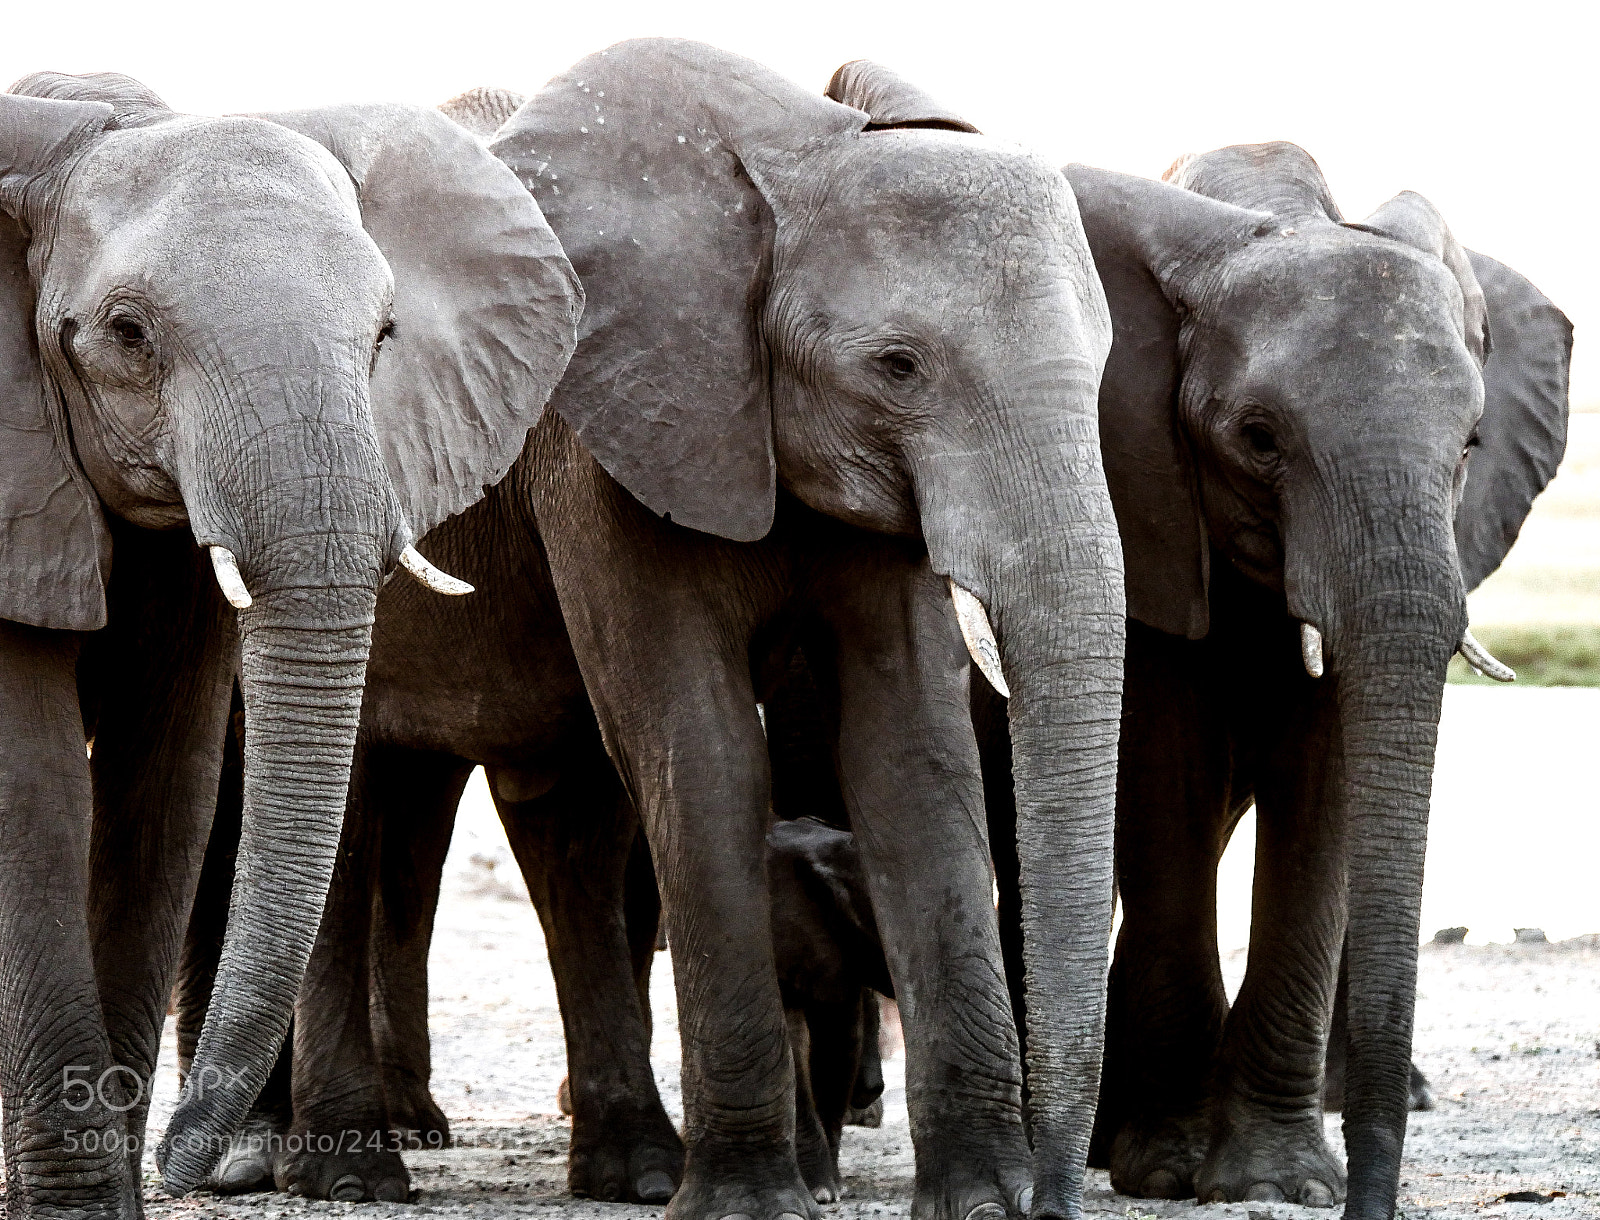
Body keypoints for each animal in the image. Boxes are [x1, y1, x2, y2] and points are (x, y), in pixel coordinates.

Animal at [977, 142, 1569, 1219]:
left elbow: (1326, 782)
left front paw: (1277, 1179)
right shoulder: (1142, 492)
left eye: (1470, 442)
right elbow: (1164, 768)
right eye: (1257, 436)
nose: (1371, 1204)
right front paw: (1168, 1167)